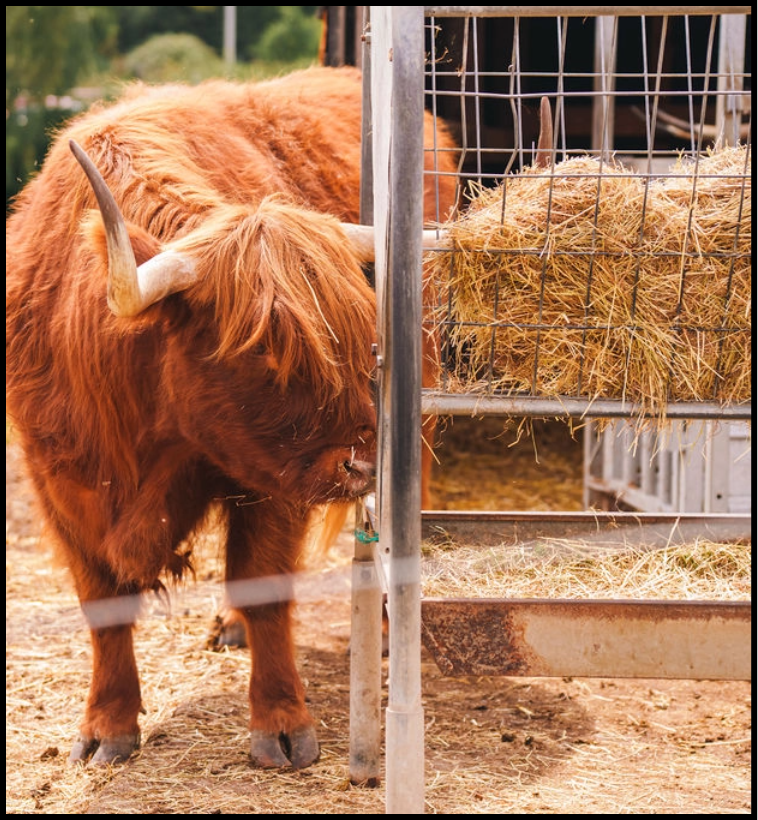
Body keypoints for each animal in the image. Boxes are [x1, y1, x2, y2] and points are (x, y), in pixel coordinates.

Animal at [6, 66, 458, 770]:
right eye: (264, 352)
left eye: (364, 340)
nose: (360, 463)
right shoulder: (58, 481)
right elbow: (102, 602)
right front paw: (106, 725)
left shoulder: (271, 484)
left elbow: (264, 584)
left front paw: (282, 724)